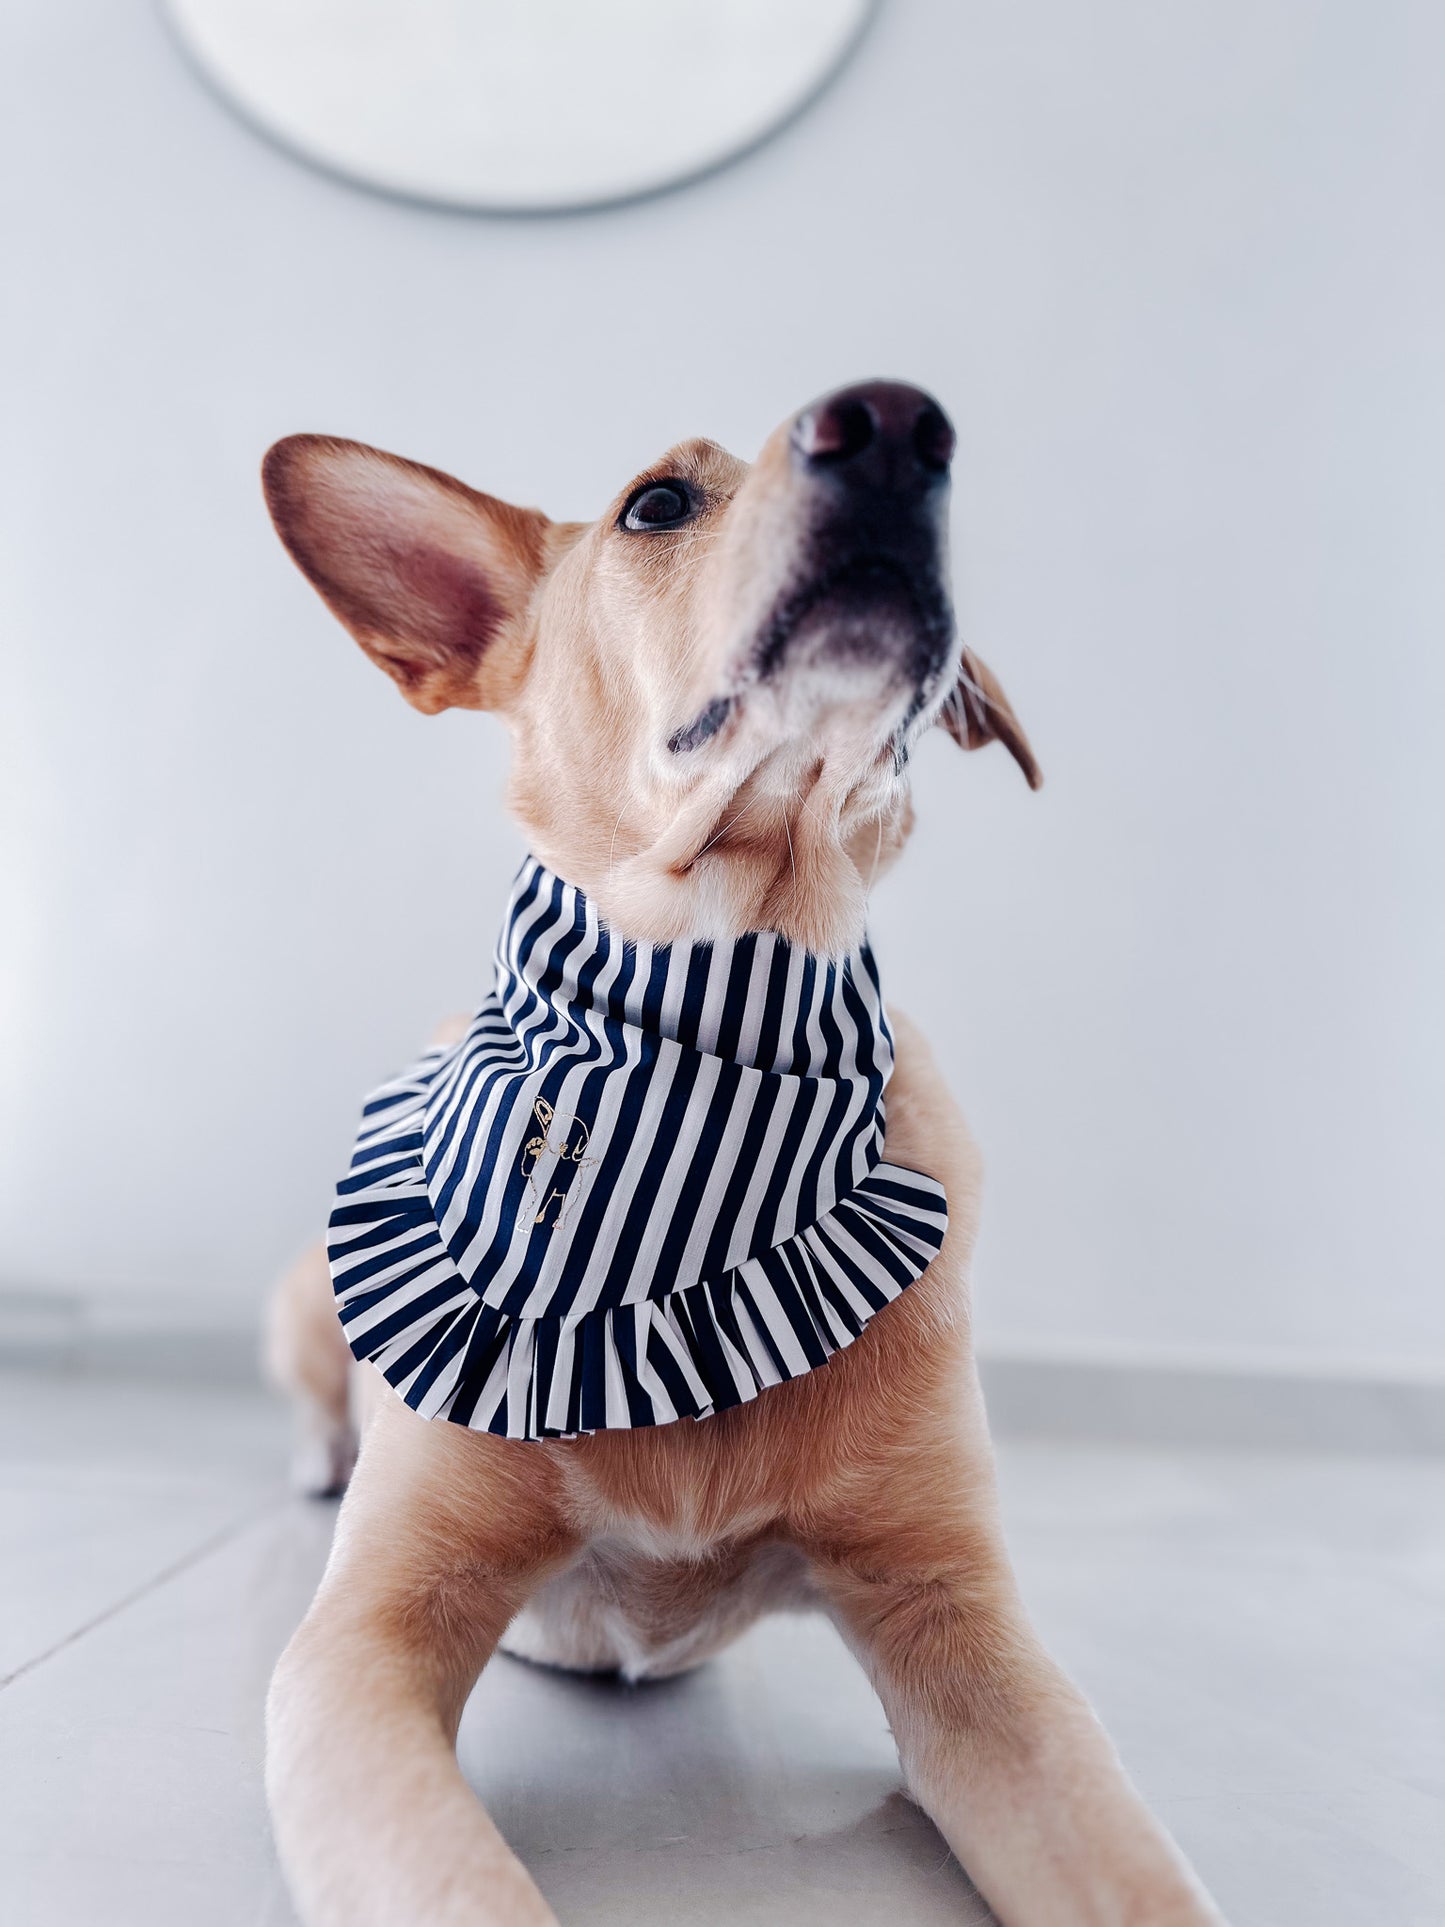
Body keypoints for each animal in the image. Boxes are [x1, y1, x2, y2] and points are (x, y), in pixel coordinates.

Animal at [258, 379, 1225, 1927]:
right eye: (657, 503)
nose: (898, 423)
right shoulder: (362, 1643)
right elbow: (455, 1881)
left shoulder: (958, 1630)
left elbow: (1135, 1874)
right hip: (300, 1297)